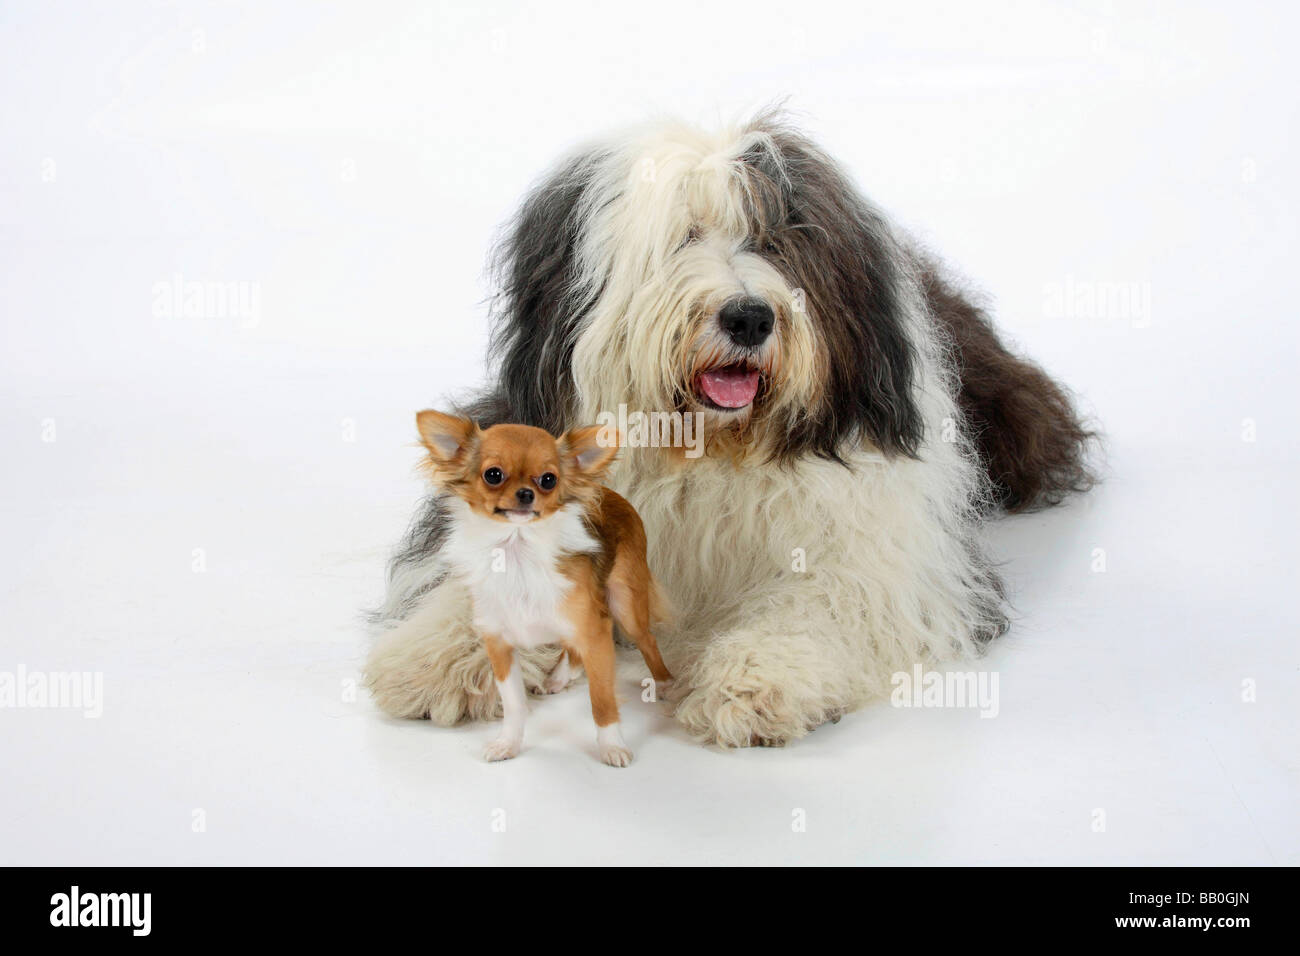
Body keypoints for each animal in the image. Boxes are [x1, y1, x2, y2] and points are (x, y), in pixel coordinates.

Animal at [366, 111, 1097, 749]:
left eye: (774, 240)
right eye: (680, 238)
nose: (749, 317)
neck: (705, 448)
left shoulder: (883, 550)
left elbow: (827, 596)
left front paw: (752, 680)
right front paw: (434, 659)